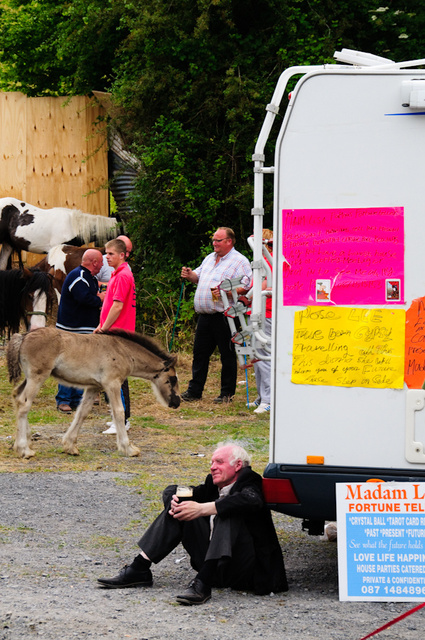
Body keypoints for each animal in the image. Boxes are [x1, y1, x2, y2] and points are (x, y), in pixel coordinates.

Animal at [7, 328, 179, 458]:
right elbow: (119, 411)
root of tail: (23, 336)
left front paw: (70, 446)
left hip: (30, 378)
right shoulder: (112, 383)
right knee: (24, 403)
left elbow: (82, 412)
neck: (123, 351)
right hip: (37, 377)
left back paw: (24, 441)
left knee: (16, 396)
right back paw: (24, 449)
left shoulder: (93, 387)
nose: (177, 402)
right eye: (172, 379)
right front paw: (128, 448)